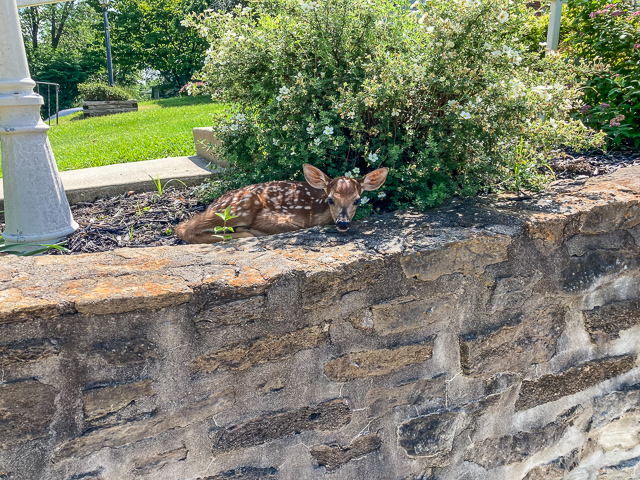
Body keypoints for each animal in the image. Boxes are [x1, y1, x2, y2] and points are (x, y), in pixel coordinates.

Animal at [175, 164, 389, 244]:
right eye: (331, 199)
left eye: (357, 200)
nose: (343, 223)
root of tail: (214, 203)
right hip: (242, 206)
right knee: (185, 228)